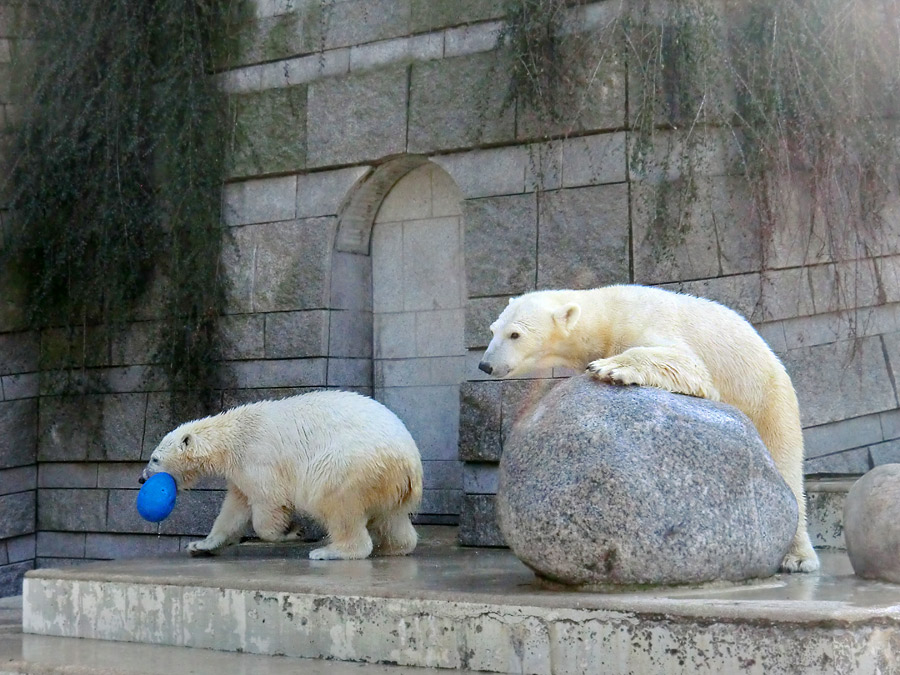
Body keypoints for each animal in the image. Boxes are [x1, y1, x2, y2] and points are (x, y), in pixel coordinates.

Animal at [140, 390, 422, 560]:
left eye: (154, 458)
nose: (142, 478)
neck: (233, 438)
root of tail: (411, 464)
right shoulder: (240, 473)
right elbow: (233, 509)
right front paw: (201, 545)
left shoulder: (258, 459)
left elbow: (269, 504)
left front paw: (291, 532)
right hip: (388, 482)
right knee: (391, 518)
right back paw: (393, 547)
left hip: (352, 465)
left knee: (336, 503)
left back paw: (330, 551)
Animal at [482, 286, 820, 576]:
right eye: (493, 330)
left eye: (515, 334)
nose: (485, 365)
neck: (606, 315)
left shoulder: (641, 326)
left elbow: (686, 363)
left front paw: (609, 368)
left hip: (769, 399)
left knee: (787, 464)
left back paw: (799, 557)